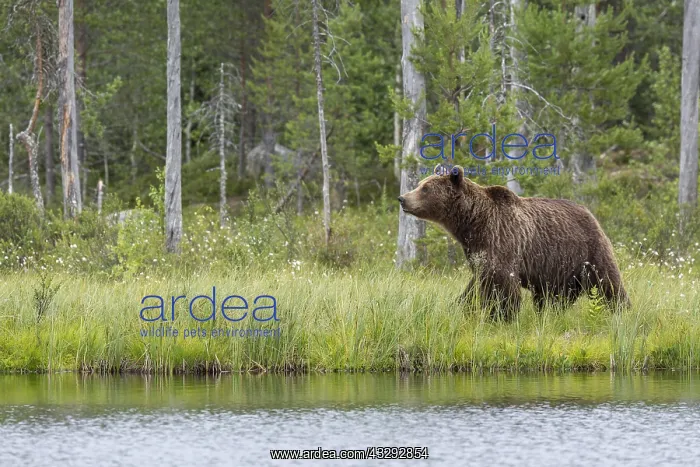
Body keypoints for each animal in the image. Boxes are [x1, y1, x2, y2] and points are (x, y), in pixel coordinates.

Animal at [397, 165, 630, 319]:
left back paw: (622, 311)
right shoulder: (477, 252)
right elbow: (475, 285)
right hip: (557, 267)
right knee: (555, 296)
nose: (402, 198)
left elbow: (502, 286)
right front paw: (462, 307)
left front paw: (501, 316)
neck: (472, 223)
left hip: (588, 249)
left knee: (608, 282)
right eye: (420, 184)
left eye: (425, 188)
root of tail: (590, 213)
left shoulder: (501, 239)